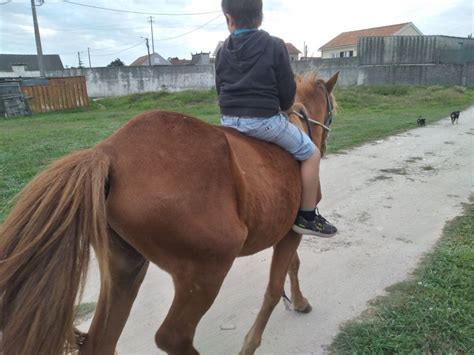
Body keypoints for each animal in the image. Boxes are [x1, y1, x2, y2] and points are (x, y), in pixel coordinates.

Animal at [0, 71, 336, 354]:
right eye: (332, 105)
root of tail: (109, 152)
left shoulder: (286, 232)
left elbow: (291, 267)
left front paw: (299, 301)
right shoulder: (292, 232)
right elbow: (274, 288)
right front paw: (255, 340)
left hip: (125, 268)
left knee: (100, 342)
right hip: (205, 272)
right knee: (172, 337)